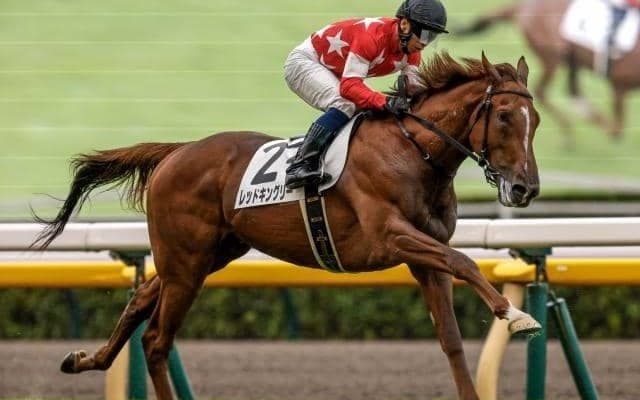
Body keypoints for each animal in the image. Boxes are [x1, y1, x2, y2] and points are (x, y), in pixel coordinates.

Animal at [32, 52, 541, 400]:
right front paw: (514, 315)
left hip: (204, 257)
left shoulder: (424, 256)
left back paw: (85, 359)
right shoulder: (391, 237)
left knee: (140, 300)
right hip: (187, 262)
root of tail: (175, 152)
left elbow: (451, 337)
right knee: (157, 340)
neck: (413, 151)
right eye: (503, 116)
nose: (525, 189)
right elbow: (465, 261)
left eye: (533, 119)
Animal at [456, 0, 640, 143]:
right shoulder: (619, 84)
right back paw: (569, 131)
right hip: (551, 56)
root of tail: (521, 7)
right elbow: (618, 124)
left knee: (573, 91)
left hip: (570, 57)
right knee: (543, 90)